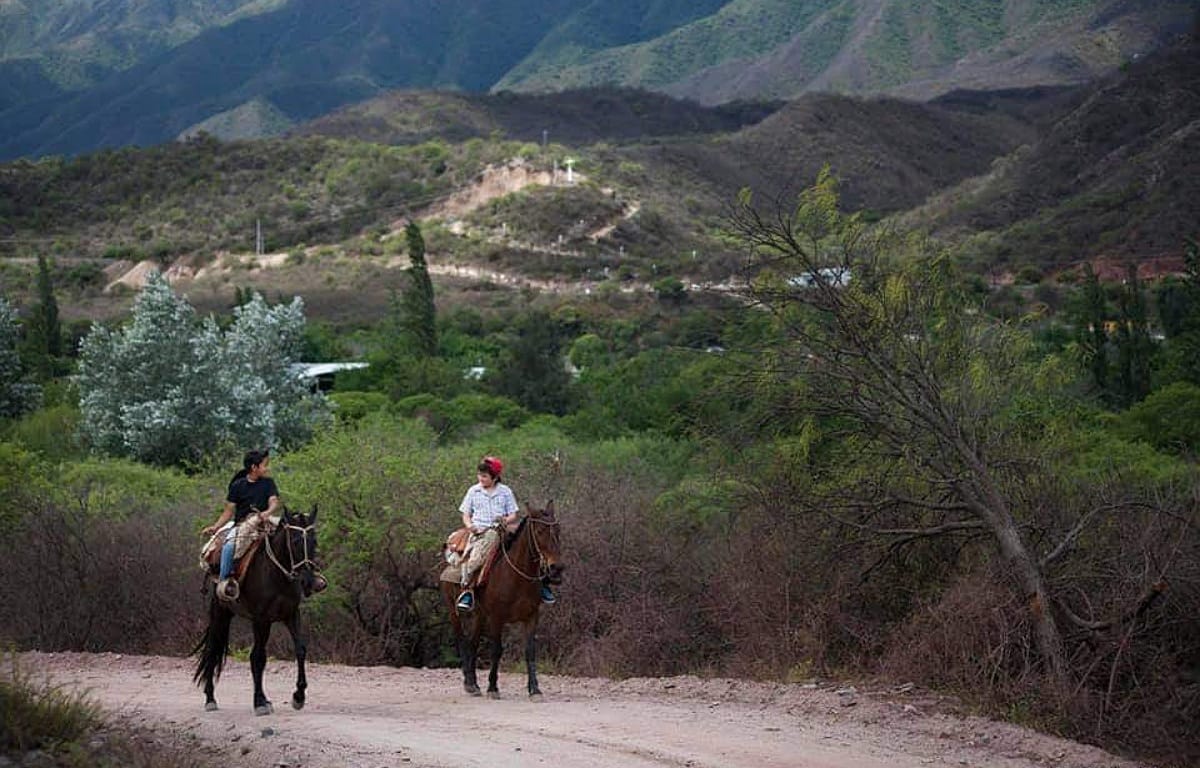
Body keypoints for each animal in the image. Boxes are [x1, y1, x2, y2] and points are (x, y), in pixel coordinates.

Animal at [190, 506, 316, 715]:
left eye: (314, 541)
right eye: (295, 541)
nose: (309, 581)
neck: (276, 574)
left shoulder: (291, 615)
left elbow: (300, 649)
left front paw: (298, 696)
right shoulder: (260, 620)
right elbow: (258, 657)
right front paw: (259, 702)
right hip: (221, 613)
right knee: (212, 649)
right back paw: (210, 698)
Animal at [444, 501, 564, 700]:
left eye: (558, 530)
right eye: (539, 531)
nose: (557, 568)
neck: (516, 576)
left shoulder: (531, 616)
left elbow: (530, 651)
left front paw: (535, 689)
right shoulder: (496, 618)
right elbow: (496, 650)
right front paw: (493, 687)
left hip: (479, 615)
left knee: (473, 643)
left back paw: (474, 684)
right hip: (454, 612)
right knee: (462, 641)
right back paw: (469, 683)